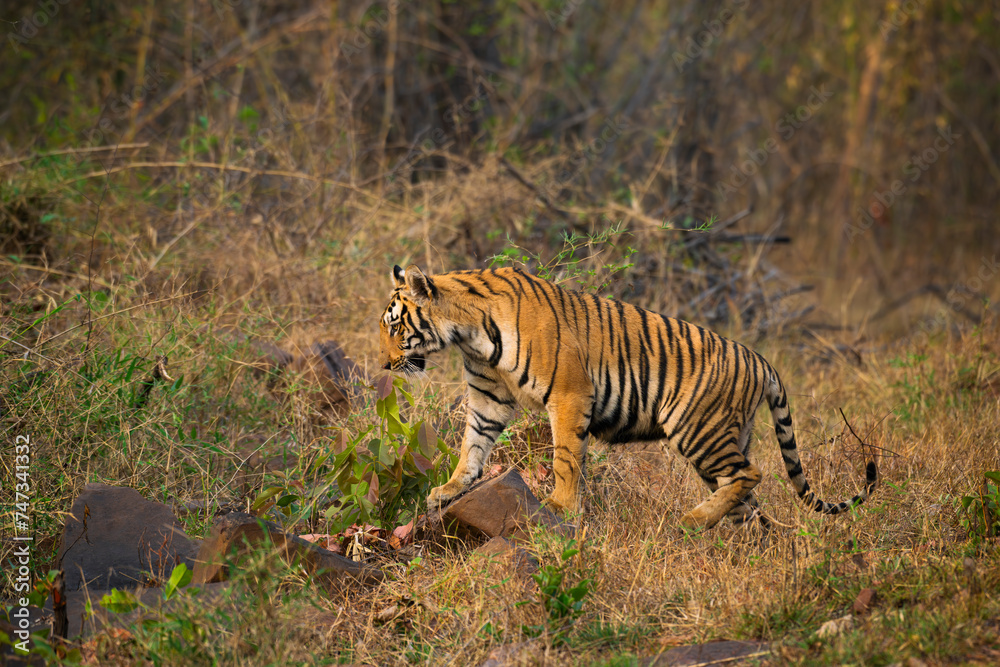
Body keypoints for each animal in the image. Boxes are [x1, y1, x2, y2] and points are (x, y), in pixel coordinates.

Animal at [378, 264, 878, 529]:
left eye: (396, 328)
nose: (384, 366)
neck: (468, 334)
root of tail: (761, 360)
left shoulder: (569, 393)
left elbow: (565, 456)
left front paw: (559, 506)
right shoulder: (488, 398)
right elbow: (472, 447)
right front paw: (446, 492)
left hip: (698, 429)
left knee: (752, 475)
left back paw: (691, 520)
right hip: (726, 438)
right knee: (748, 502)